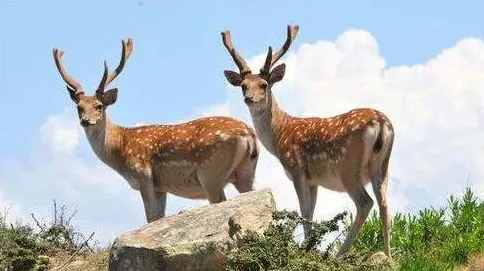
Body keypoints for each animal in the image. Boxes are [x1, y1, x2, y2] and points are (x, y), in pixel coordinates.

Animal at [52, 38, 260, 225]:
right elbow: (159, 217)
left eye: (99, 106)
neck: (120, 148)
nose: (85, 121)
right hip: (246, 170)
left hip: (210, 172)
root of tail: (249, 134)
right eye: (79, 107)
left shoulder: (144, 176)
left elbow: (151, 218)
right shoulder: (161, 187)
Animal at [221, 26, 396, 260]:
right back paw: (388, 256)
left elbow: (304, 212)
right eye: (243, 85)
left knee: (365, 202)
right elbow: (311, 213)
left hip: (348, 166)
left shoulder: (297, 170)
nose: (249, 98)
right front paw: (310, 246)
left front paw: (307, 250)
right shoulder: (314, 180)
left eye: (264, 85)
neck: (280, 135)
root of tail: (380, 123)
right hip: (382, 166)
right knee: (385, 205)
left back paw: (340, 253)